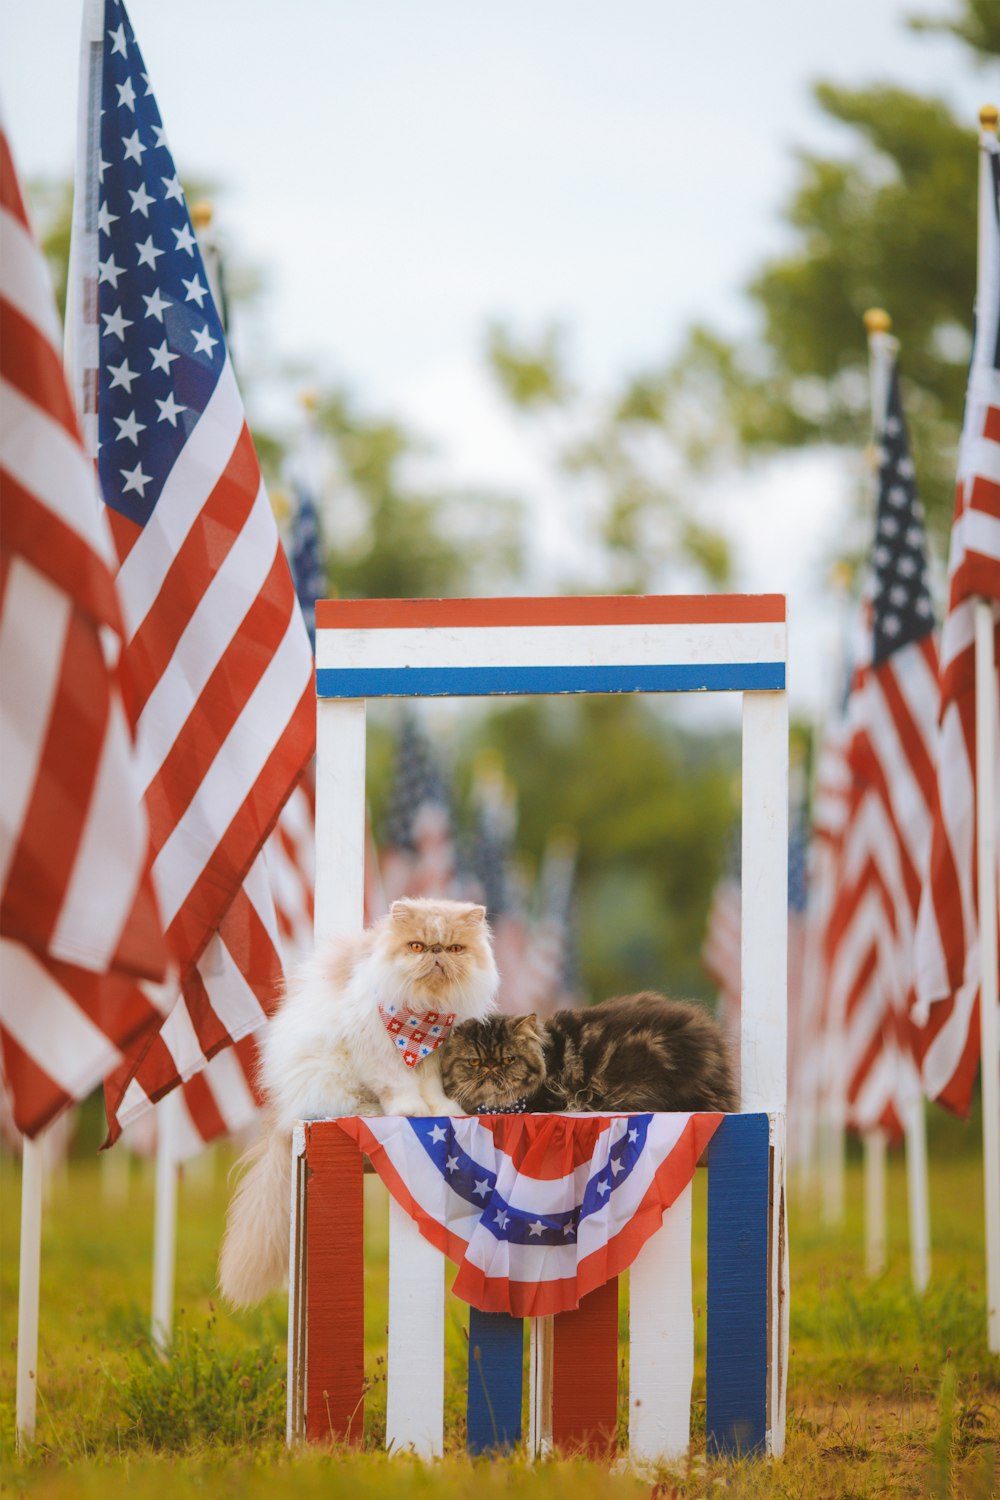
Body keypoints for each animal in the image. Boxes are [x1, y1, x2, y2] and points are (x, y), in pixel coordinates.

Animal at [220, 894, 500, 1308]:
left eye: (454, 949)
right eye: (417, 946)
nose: (436, 954)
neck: (421, 1019)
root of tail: (283, 1115)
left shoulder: (435, 1058)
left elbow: (434, 1092)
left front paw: (442, 1110)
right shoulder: (380, 1054)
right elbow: (400, 1088)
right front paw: (409, 1111)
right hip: (330, 1076)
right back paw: (372, 1110)